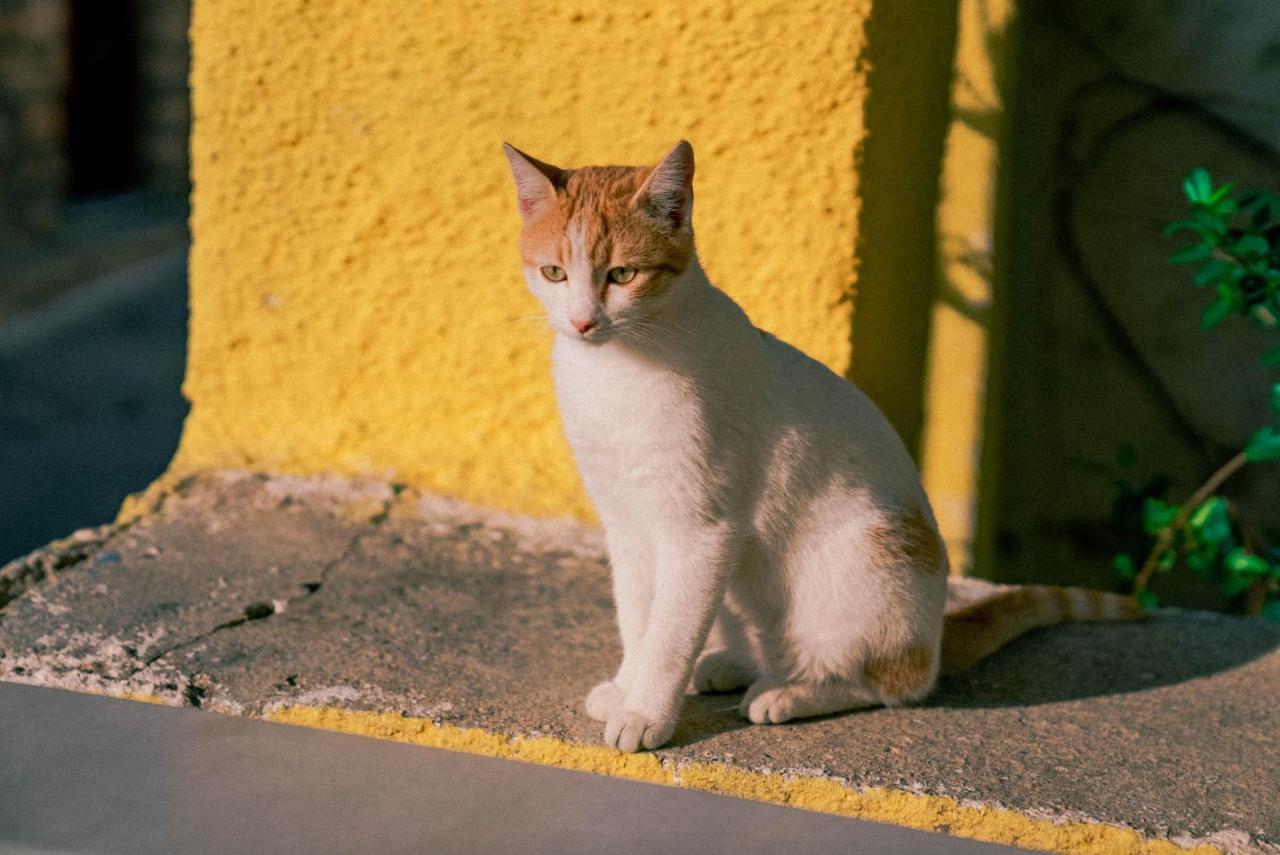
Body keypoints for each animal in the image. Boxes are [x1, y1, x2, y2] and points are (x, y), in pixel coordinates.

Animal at [504, 138, 1136, 747]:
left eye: (622, 276)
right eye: (555, 273)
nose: (583, 322)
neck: (616, 372)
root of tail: (935, 636)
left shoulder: (700, 530)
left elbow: (669, 634)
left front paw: (645, 713)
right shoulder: (627, 521)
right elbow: (639, 619)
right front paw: (626, 687)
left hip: (861, 569)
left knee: (895, 683)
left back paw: (791, 691)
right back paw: (737, 665)